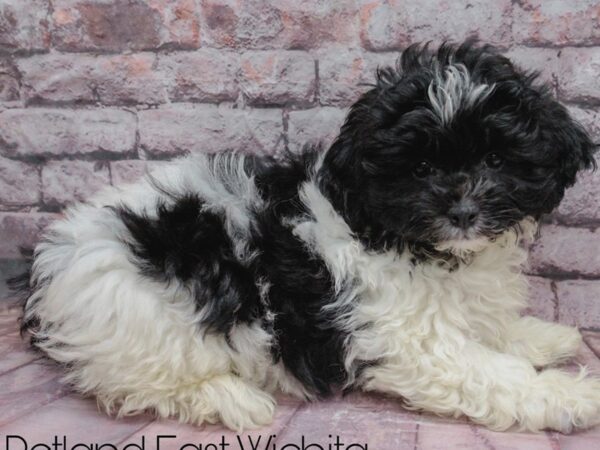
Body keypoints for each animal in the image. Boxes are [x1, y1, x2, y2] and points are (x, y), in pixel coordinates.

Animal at [16, 42, 596, 432]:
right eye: (421, 167)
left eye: (496, 159)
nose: (461, 210)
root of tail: (51, 263)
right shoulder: (412, 340)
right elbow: (494, 374)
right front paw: (572, 396)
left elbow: (492, 330)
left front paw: (544, 336)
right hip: (145, 315)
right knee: (132, 384)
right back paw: (232, 399)